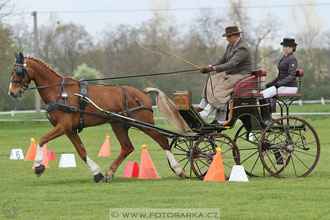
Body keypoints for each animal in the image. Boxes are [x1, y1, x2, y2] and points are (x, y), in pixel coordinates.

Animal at [8, 52, 188, 182]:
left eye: (18, 71)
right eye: (12, 71)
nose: (12, 93)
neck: (59, 92)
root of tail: (141, 92)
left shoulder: (63, 126)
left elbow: (42, 140)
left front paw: (38, 166)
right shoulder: (70, 130)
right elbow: (81, 151)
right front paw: (97, 173)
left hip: (144, 123)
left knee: (162, 141)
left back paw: (179, 170)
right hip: (118, 124)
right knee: (127, 147)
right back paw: (110, 173)